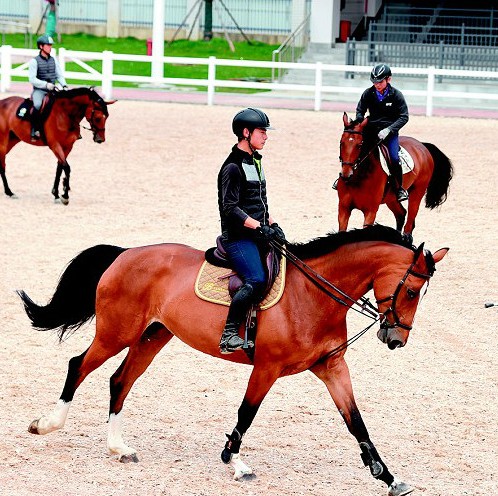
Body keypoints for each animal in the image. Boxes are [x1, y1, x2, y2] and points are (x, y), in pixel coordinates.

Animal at [17, 226, 450, 496]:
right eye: (412, 291)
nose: (396, 339)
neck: (312, 295)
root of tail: (125, 254)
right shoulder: (267, 368)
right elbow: (247, 412)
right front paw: (236, 462)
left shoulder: (332, 368)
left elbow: (356, 421)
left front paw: (389, 477)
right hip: (116, 334)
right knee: (78, 366)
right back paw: (46, 424)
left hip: (152, 337)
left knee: (119, 380)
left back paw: (119, 448)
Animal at [336, 112, 454, 244]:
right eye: (341, 143)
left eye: (359, 145)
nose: (346, 174)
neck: (358, 177)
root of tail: (422, 145)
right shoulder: (344, 209)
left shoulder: (370, 211)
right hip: (391, 198)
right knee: (401, 214)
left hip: (417, 192)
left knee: (410, 221)